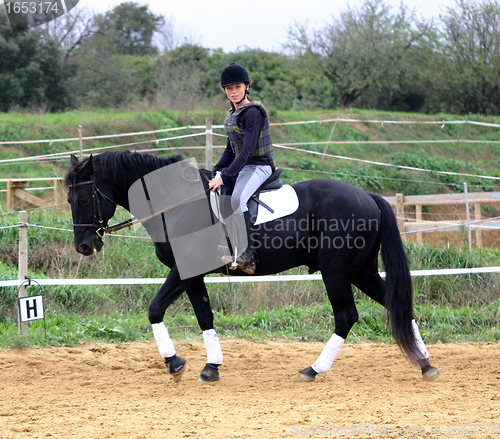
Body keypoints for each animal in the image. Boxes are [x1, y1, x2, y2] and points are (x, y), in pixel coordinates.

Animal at [65, 152, 438, 384]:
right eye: (69, 199)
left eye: (83, 198)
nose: (84, 246)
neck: (177, 205)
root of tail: (368, 196)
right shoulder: (192, 276)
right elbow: (205, 316)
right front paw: (211, 367)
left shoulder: (182, 273)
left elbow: (155, 309)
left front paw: (174, 363)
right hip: (360, 271)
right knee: (397, 306)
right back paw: (425, 364)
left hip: (336, 273)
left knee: (346, 316)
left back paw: (314, 370)